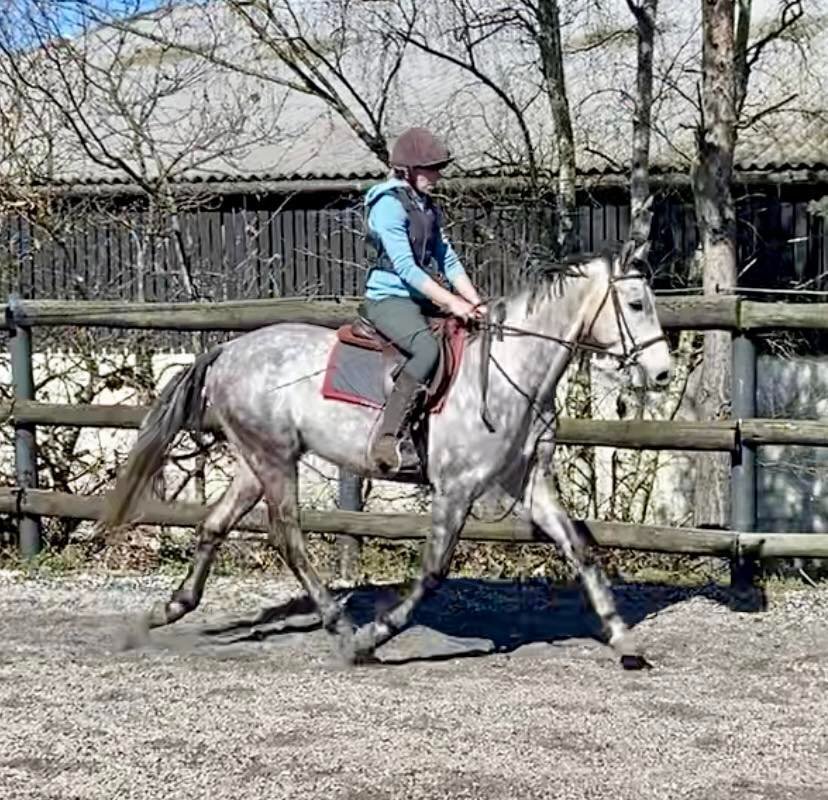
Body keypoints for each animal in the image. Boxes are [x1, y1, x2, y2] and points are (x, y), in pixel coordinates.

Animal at [100, 239, 672, 669]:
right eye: (636, 304)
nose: (664, 373)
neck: (515, 369)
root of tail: (229, 350)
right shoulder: (456, 488)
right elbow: (433, 572)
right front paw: (374, 636)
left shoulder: (528, 482)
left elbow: (581, 548)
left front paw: (625, 642)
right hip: (275, 460)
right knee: (288, 536)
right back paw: (340, 626)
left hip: (254, 460)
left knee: (216, 525)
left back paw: (166, 611)